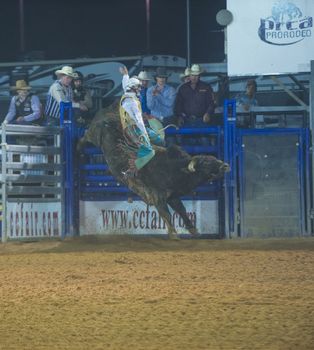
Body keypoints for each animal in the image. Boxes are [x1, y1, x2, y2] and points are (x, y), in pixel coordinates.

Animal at [78, 104, 231, 239]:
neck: (172, 169)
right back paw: (78, 147)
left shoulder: (173, 196)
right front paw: (174, 234)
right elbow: (167, 214)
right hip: (93, 134)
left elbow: (182, 211)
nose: (225, 165)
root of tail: (110, 111)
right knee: (85, 136)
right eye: (205, 163)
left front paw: (194, 230)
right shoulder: (157, 197)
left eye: (213, 158)